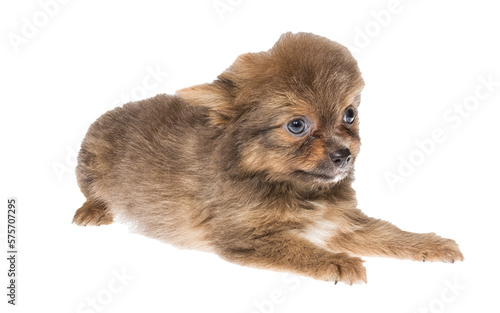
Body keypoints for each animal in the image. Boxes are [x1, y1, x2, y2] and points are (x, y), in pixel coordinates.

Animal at [72, 33, 462, 284]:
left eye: (349, 115)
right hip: (90, 162)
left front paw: (430, 244)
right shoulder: (247, 236)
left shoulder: (341, 222)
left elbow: (388, 233)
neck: (292, 187)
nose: (344, 154)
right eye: (297, 125)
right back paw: (94, 209)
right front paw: (337, 262)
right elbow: (298, 248)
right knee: (92, 192)